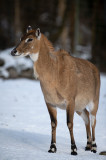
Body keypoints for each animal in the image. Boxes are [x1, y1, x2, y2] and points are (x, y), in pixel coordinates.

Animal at [11, 26, 100, 155]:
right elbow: (53, 123)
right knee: (87, 117)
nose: (14, 51)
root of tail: (96, 69)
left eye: (30, 39)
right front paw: (52, 148)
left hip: (94, 101)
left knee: (93, 120)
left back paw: (94, 146)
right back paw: (87, 145)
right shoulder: (50, 102)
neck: (53, 73)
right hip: (79, 106)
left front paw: (73, 149)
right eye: (21, 37)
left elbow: (69, 123)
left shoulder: (70, 100)